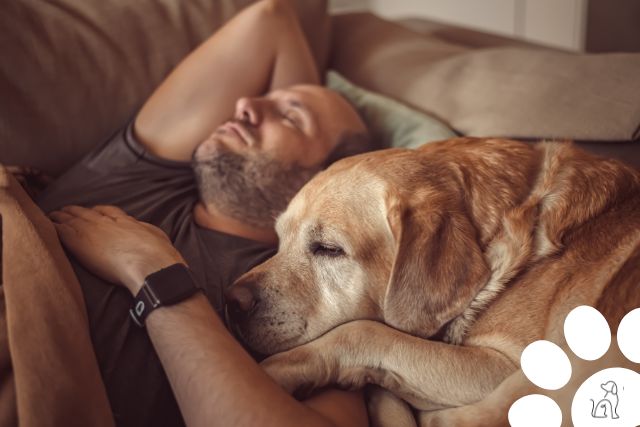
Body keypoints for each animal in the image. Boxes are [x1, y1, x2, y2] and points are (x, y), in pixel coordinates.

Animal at [225, 139, 640, 426]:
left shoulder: (507, 365)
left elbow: (366, 332)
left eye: (328, 249)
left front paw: (279, 371)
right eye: (279, 239)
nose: (232, 302)